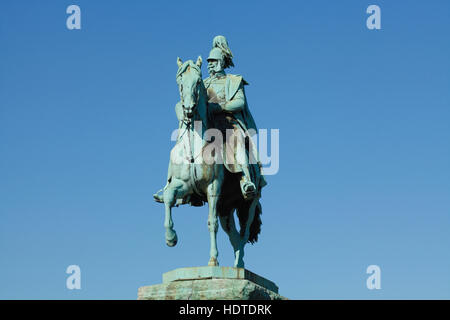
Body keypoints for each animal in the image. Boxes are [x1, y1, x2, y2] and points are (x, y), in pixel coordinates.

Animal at [157, 56, 264, 268]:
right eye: (180, 81)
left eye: (198, 81)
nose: (188, 110)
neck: (194, 146)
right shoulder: (182, 186)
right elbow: (169, 198)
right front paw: (170, 238)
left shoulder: (213, 187)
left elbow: (211, 222)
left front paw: (213, 260)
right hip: (226, 209)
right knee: (233, 235)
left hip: (249, 204)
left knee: (243, 233)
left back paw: (239, 264)